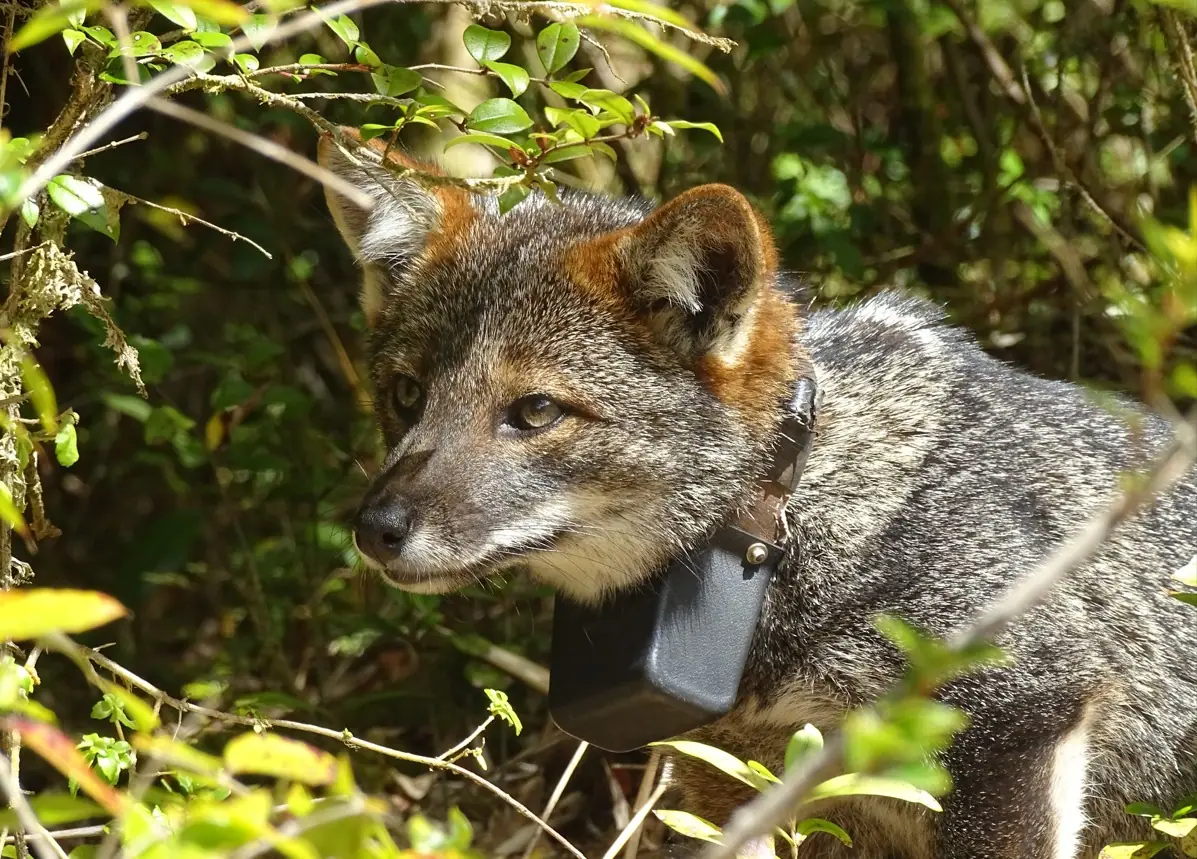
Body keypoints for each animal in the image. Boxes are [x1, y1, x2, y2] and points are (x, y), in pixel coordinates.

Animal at [316, 127, 1197, 859]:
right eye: (406, 395)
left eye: (534, 411)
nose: (375, 529)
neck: (793, 519)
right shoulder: (736, 781)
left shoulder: (1014, 718)